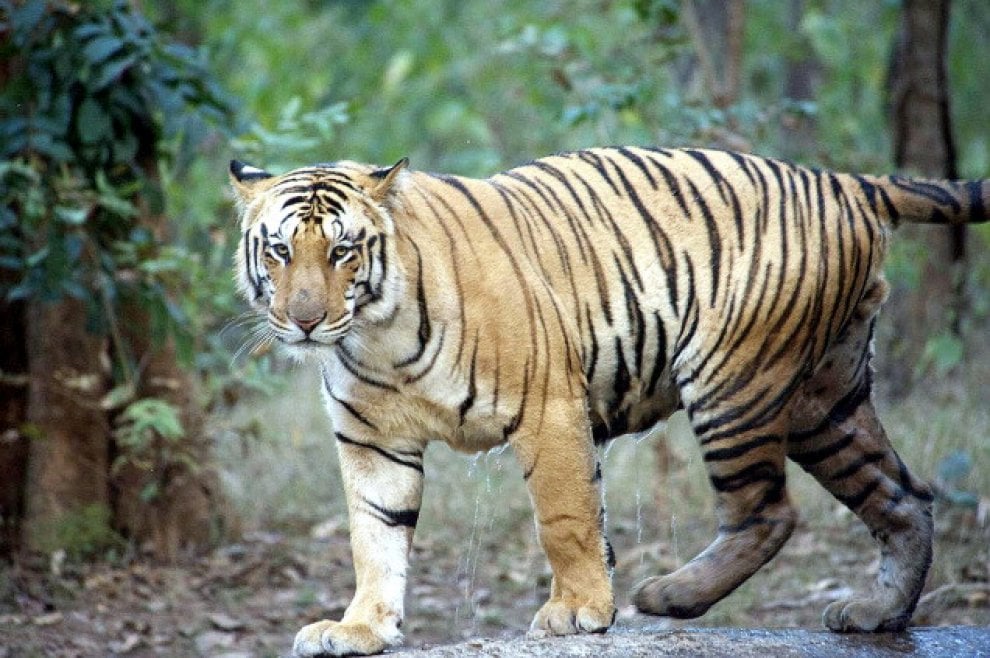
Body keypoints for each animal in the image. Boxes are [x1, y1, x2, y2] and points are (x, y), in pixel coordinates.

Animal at [229, 147, 989, 657]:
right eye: (279, 252)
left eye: (342, 253)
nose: (303, 321)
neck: (375, 333)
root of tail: (840, 179)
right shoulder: (373, 439)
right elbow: (374, 536)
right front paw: (360, 626)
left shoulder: (548, 406)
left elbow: (565, 519)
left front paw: (579, 611)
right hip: (823, 402)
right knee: (904, 495)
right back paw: (876, 612)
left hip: (734, 382)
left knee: (768, 511)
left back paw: (671, 595)